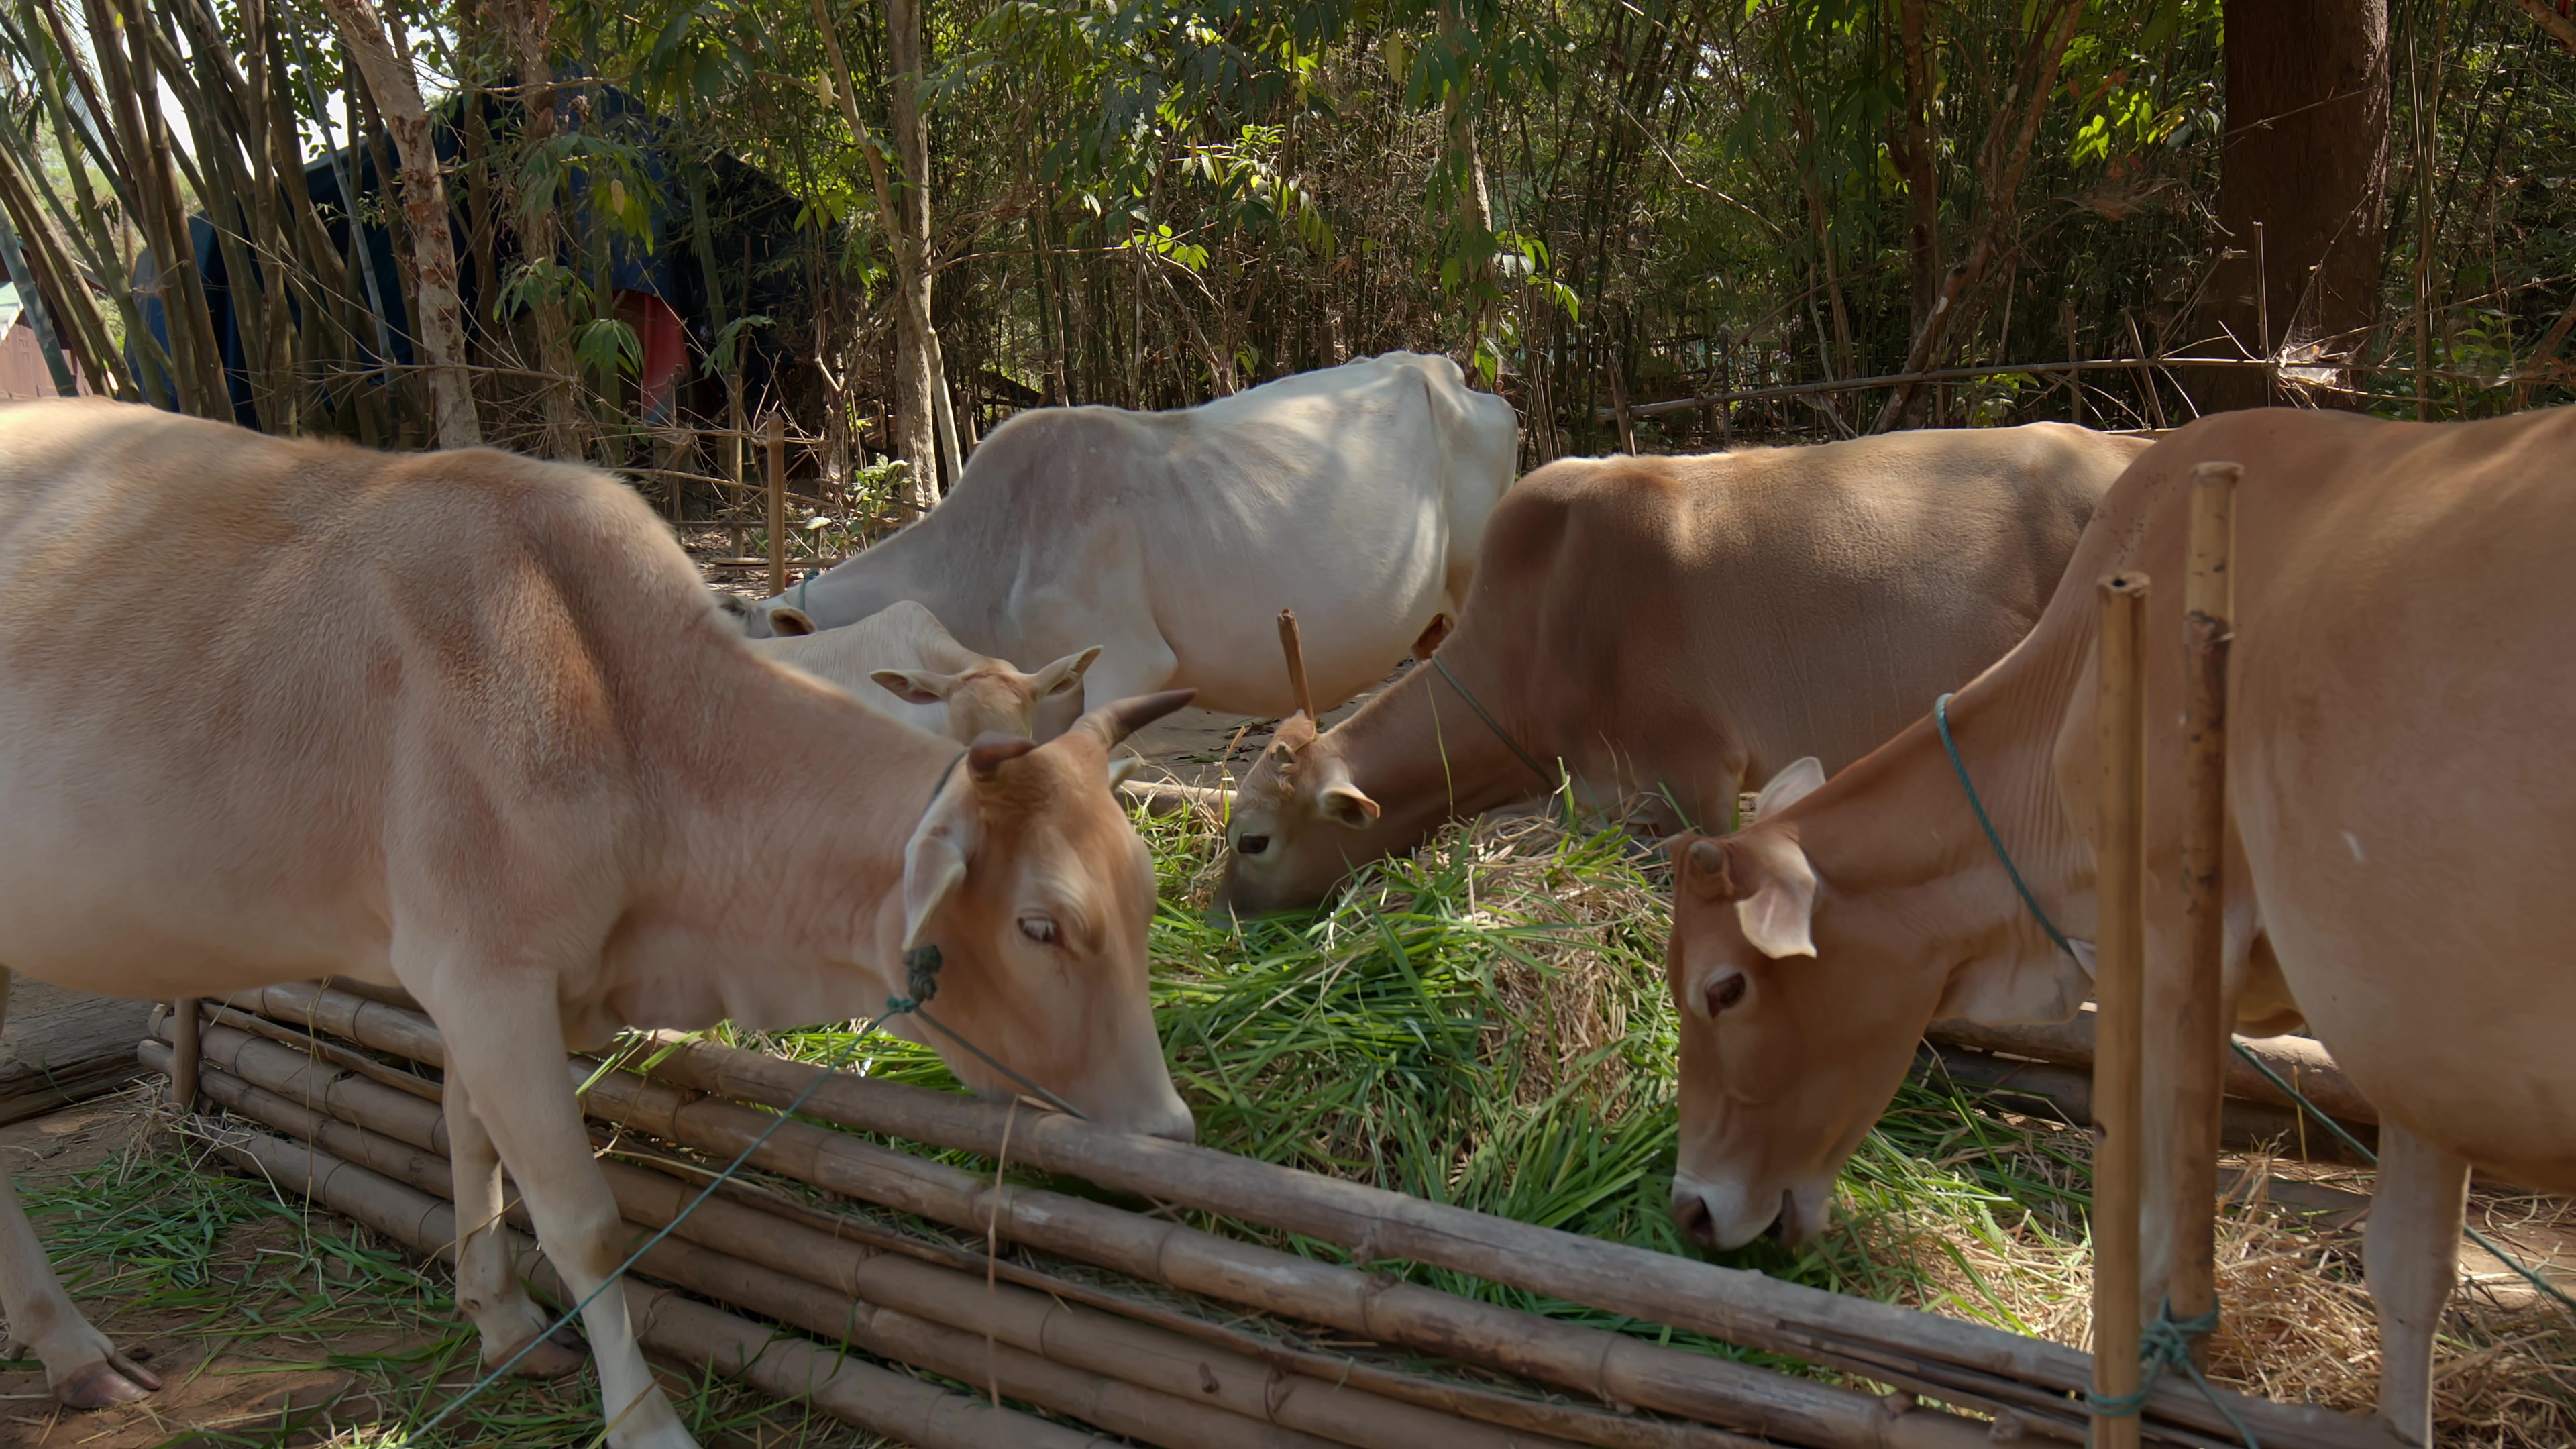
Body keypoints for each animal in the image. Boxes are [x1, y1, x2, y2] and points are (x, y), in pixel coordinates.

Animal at [1658, 406, 2576, 1448]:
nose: (1690, 1210)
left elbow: (2146, 1246)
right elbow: (2410, 1273)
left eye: (1724, 987)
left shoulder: (2177, 950)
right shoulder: (2410, 1053)